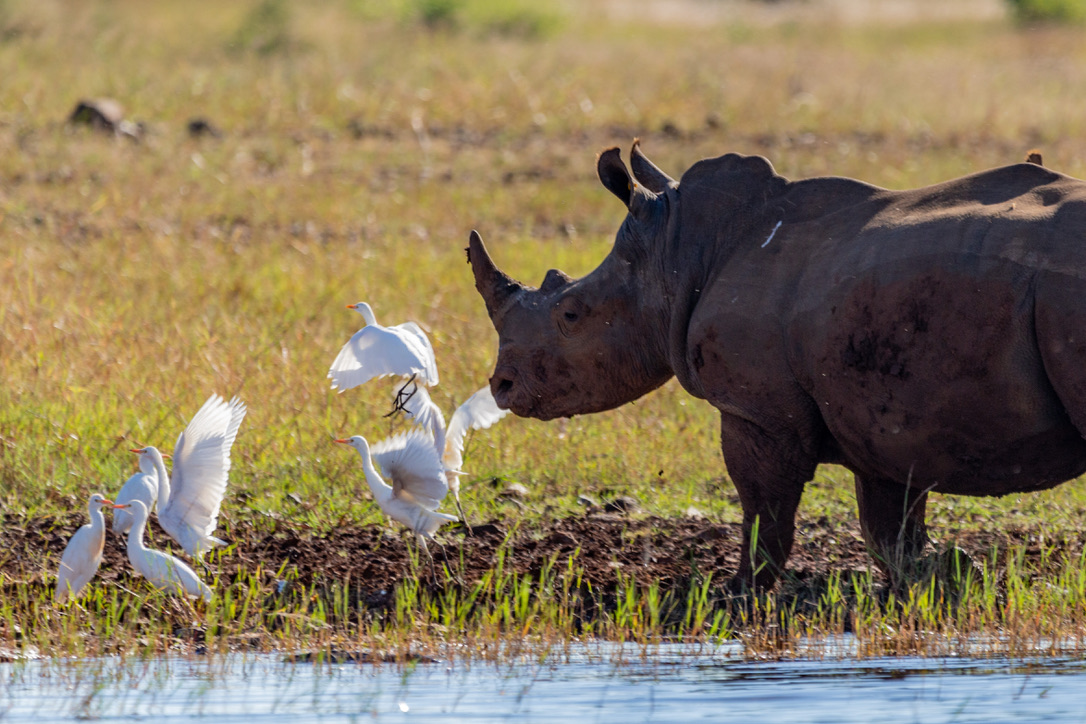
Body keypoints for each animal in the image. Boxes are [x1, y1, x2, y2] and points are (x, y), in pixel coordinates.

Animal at [467, 141, 1086, 591]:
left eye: (571, 314)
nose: (502, 386)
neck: (670, 255)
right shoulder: (880, 415)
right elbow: (887, 523)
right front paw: (944, 577)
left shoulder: (756, 409)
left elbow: (763, 504)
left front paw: (740, 591)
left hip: (1065, 292)